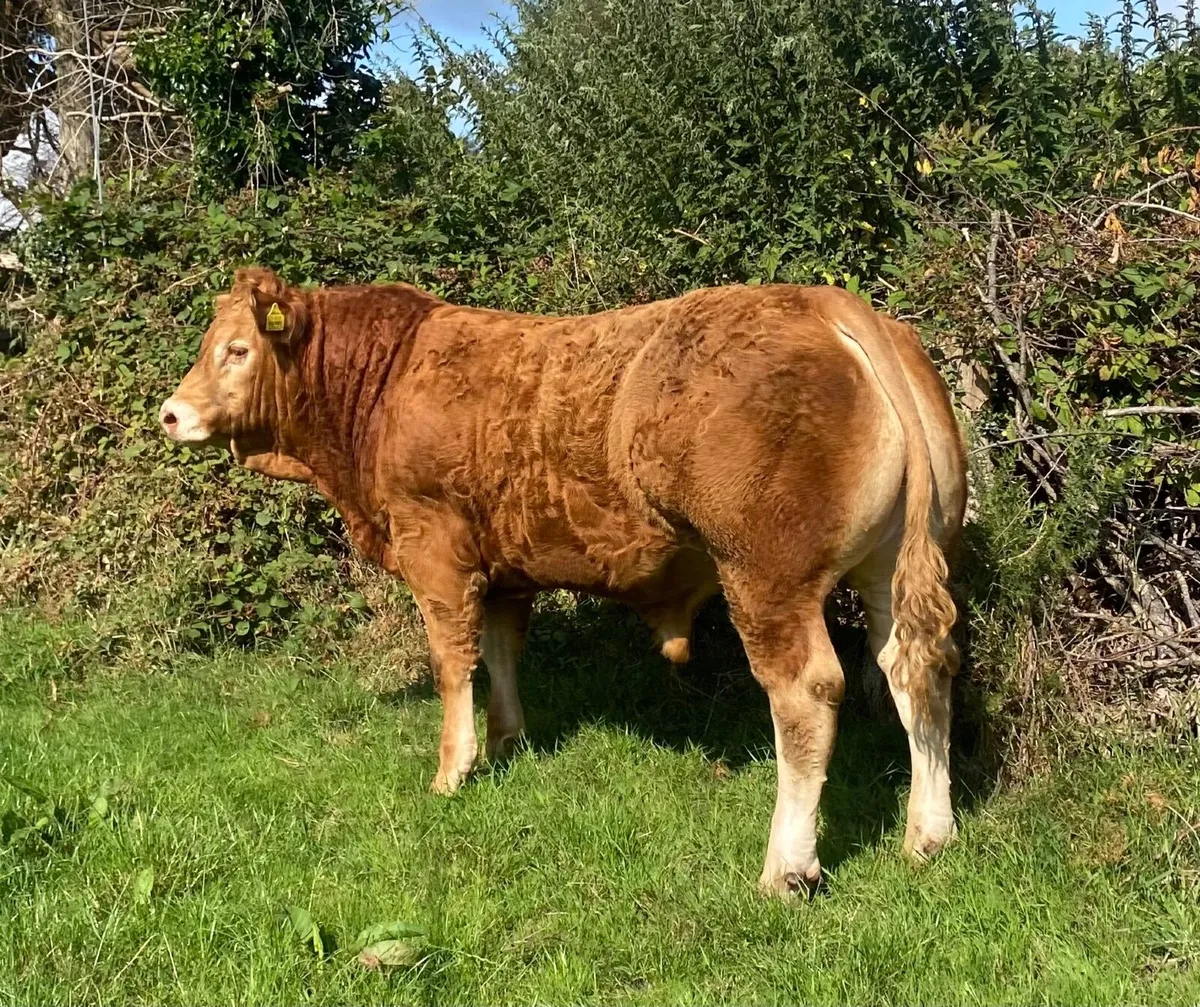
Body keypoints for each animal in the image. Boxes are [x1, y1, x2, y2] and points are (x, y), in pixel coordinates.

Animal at [159, 267, 967, 896]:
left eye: (236, 349)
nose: (170, 412)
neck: (385, 382)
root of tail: (822, 301)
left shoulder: (433, 547)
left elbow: (452, 660)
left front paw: (453, 769)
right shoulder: (504, 566)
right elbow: (502, 649)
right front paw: (507, 740)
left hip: (767, 577)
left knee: (806, 694)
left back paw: (786, 867)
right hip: (894, 566)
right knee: (914, 669)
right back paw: (929, 834)